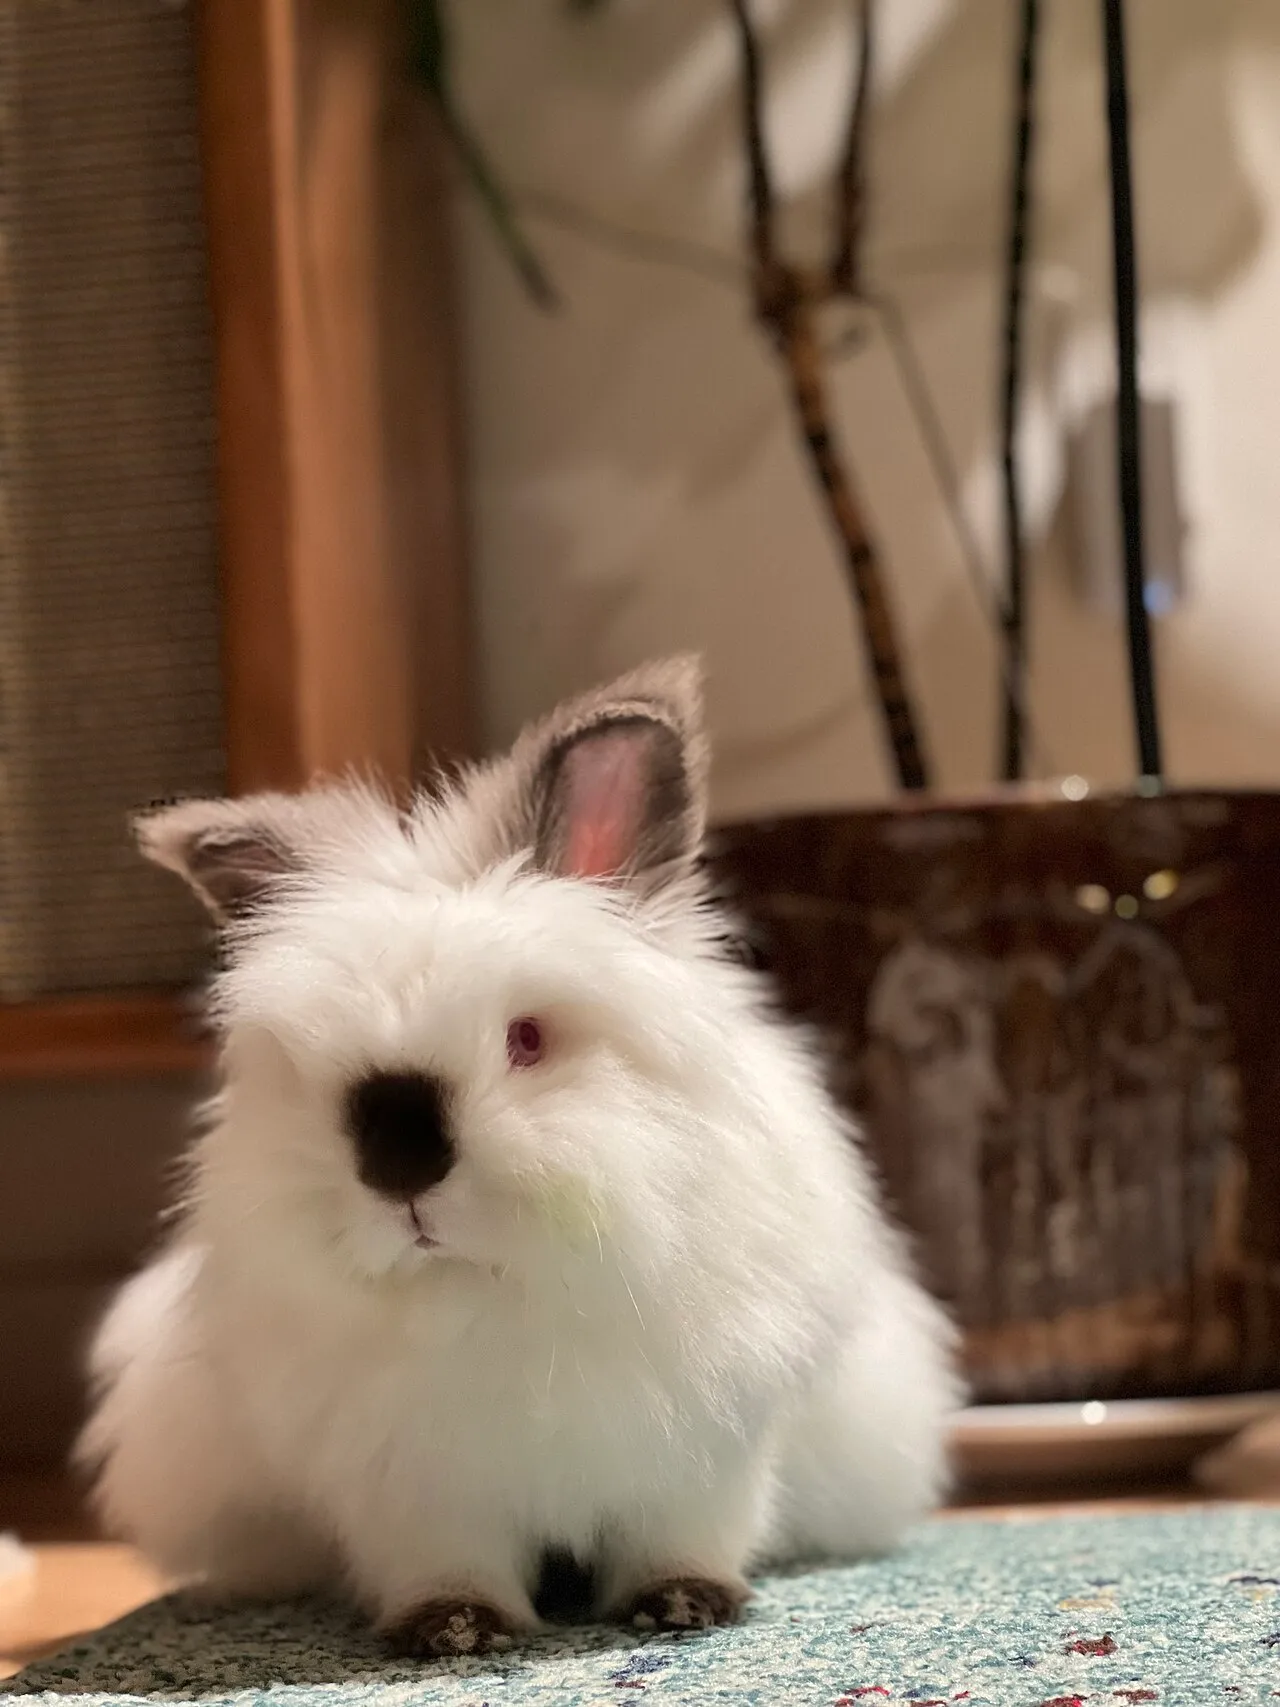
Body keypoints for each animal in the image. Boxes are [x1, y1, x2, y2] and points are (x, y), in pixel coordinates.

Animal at [79, 658, 959, 1657]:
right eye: (315, 1066)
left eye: (528, 1039)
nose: (399, 1167)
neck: (491, 1291)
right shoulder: (413, 1487)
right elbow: (446, 1562)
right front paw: (455, 1630)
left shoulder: (703, 1456)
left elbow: (682, 1536)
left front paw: (681, 1606)